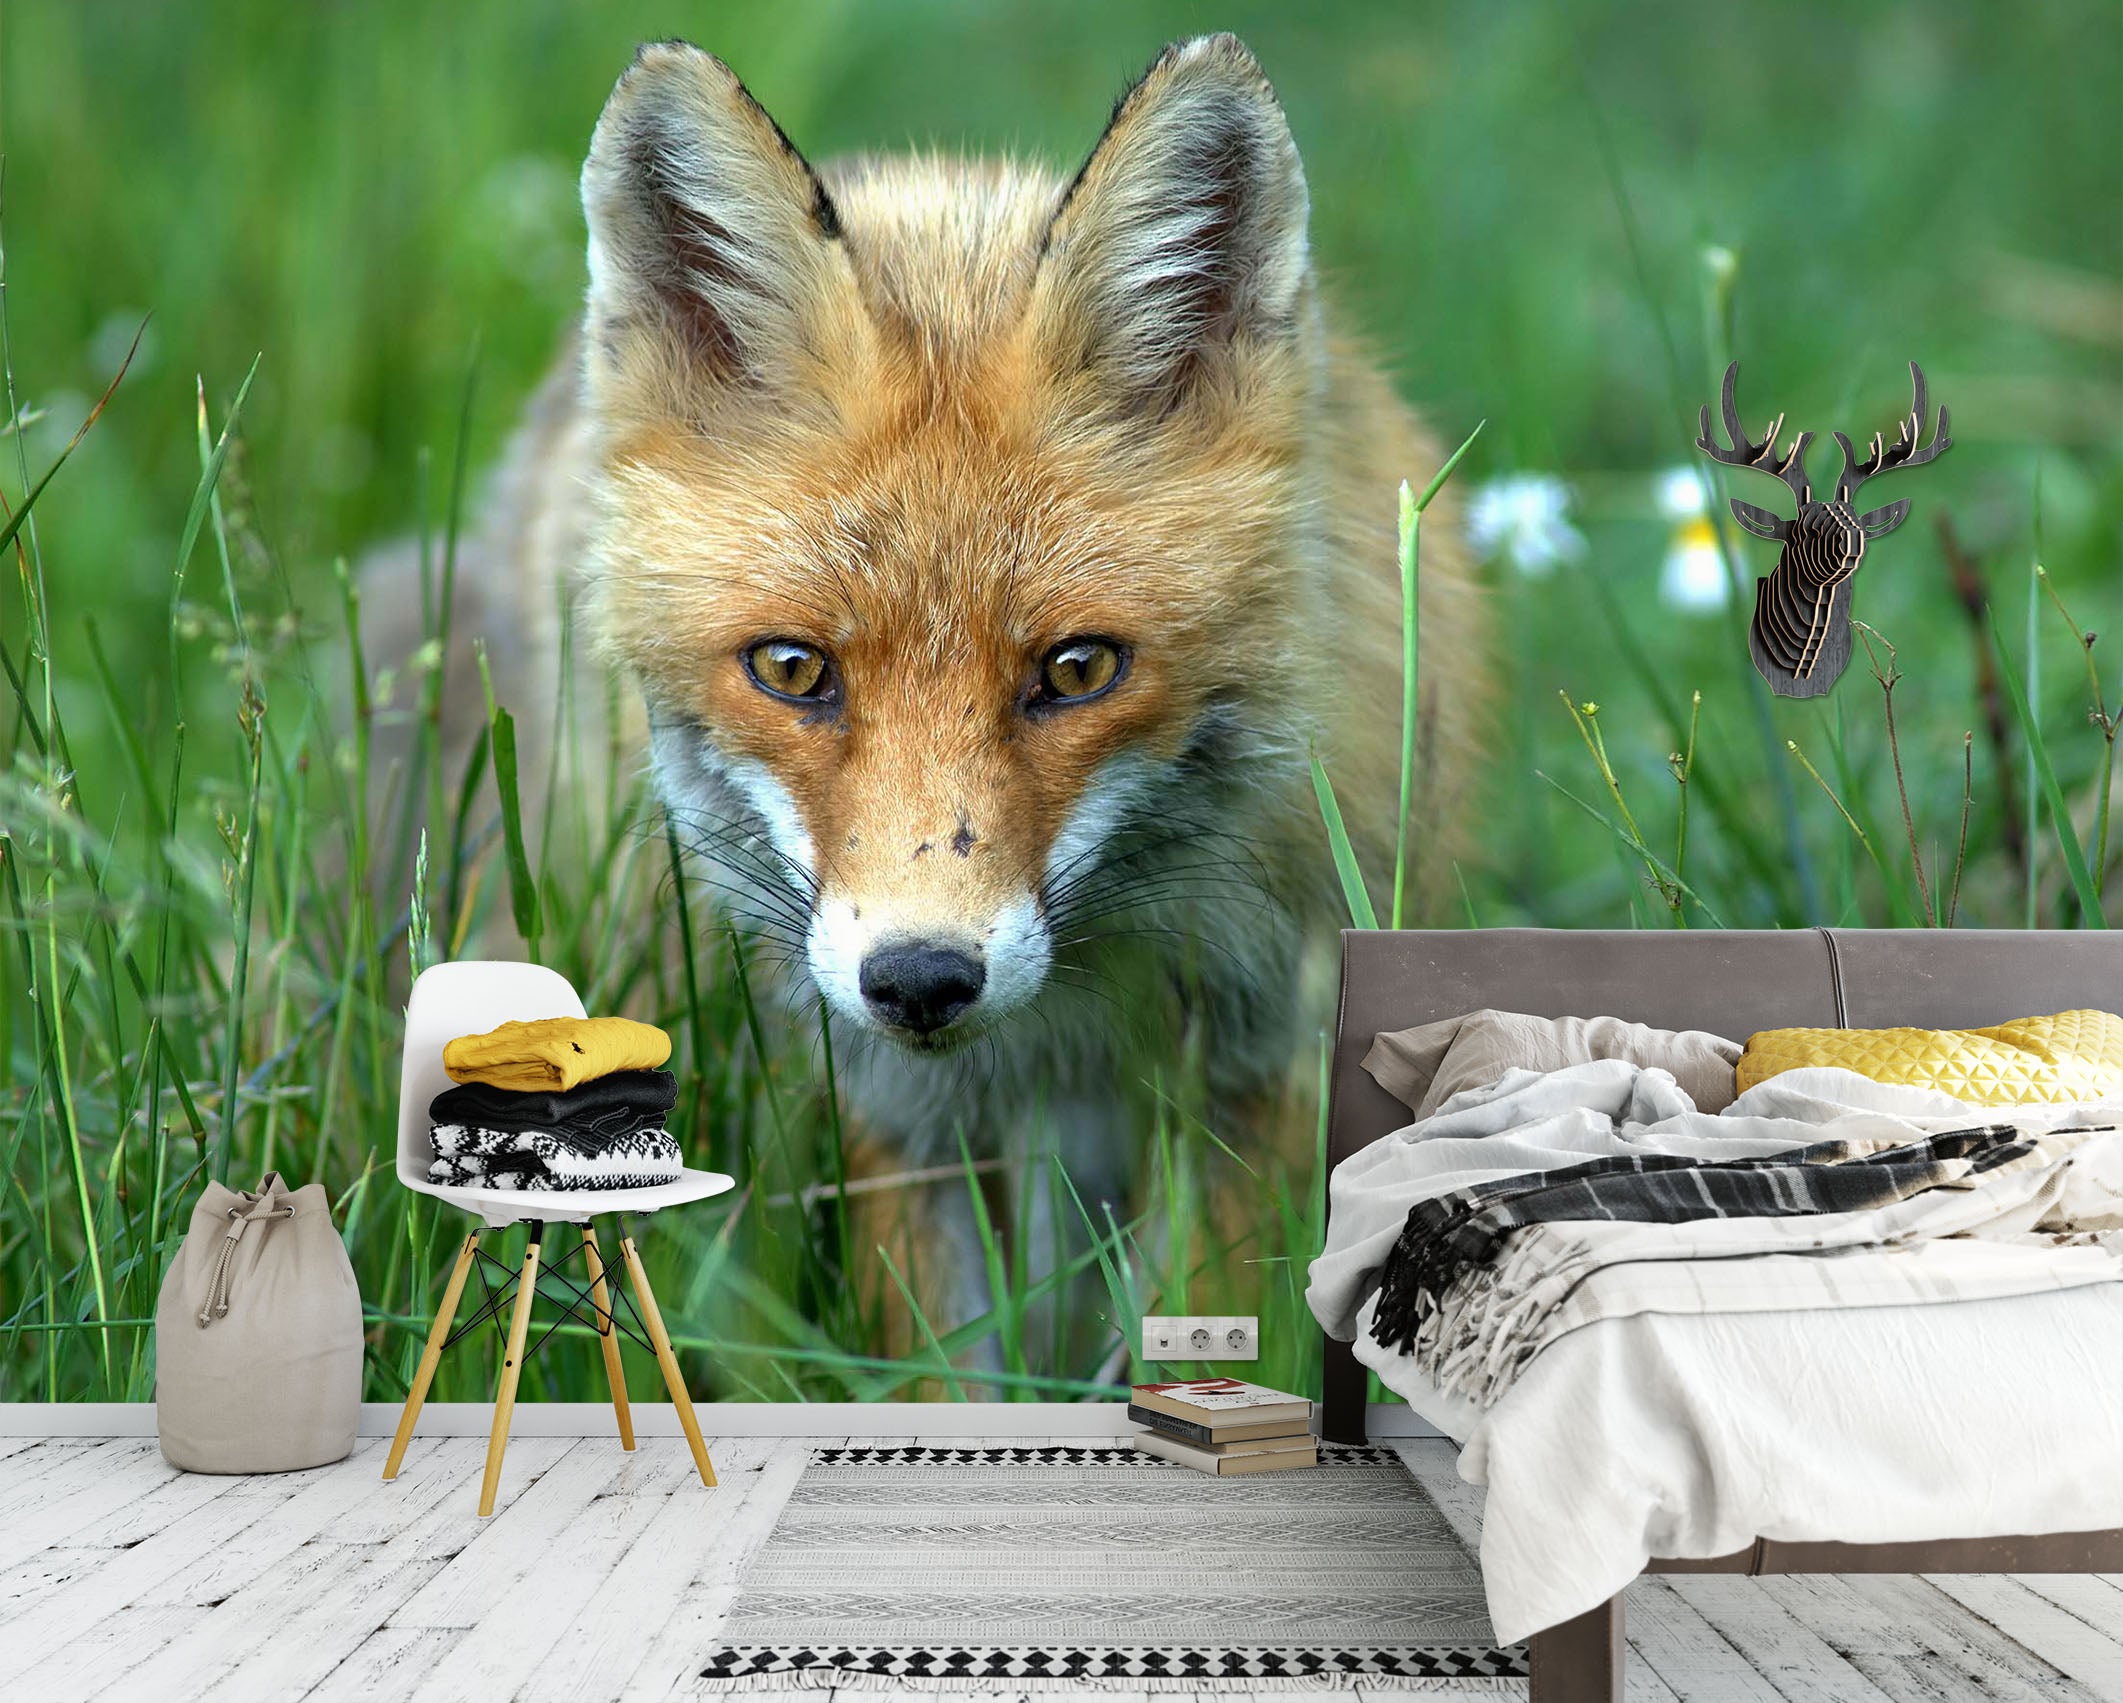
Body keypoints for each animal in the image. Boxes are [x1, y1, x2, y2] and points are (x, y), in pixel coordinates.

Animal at [371, 33, 1486, 1341]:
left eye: (1076, 668)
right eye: (792, 669)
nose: (917, 980)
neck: (1060, 1032)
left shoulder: (1253, 1061)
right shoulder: (880, 1102)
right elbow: (935, 1354)